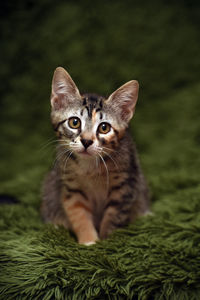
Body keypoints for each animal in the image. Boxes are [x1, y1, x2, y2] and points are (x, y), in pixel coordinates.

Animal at [41, 67, 149, 245]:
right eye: (74, 122)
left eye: (104, 127)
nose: (86, 141)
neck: (90, 166)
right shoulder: (72, 188)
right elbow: (79, 215)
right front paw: (89, 242)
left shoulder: (125, 186)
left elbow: (114, 216)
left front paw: (107, 241)